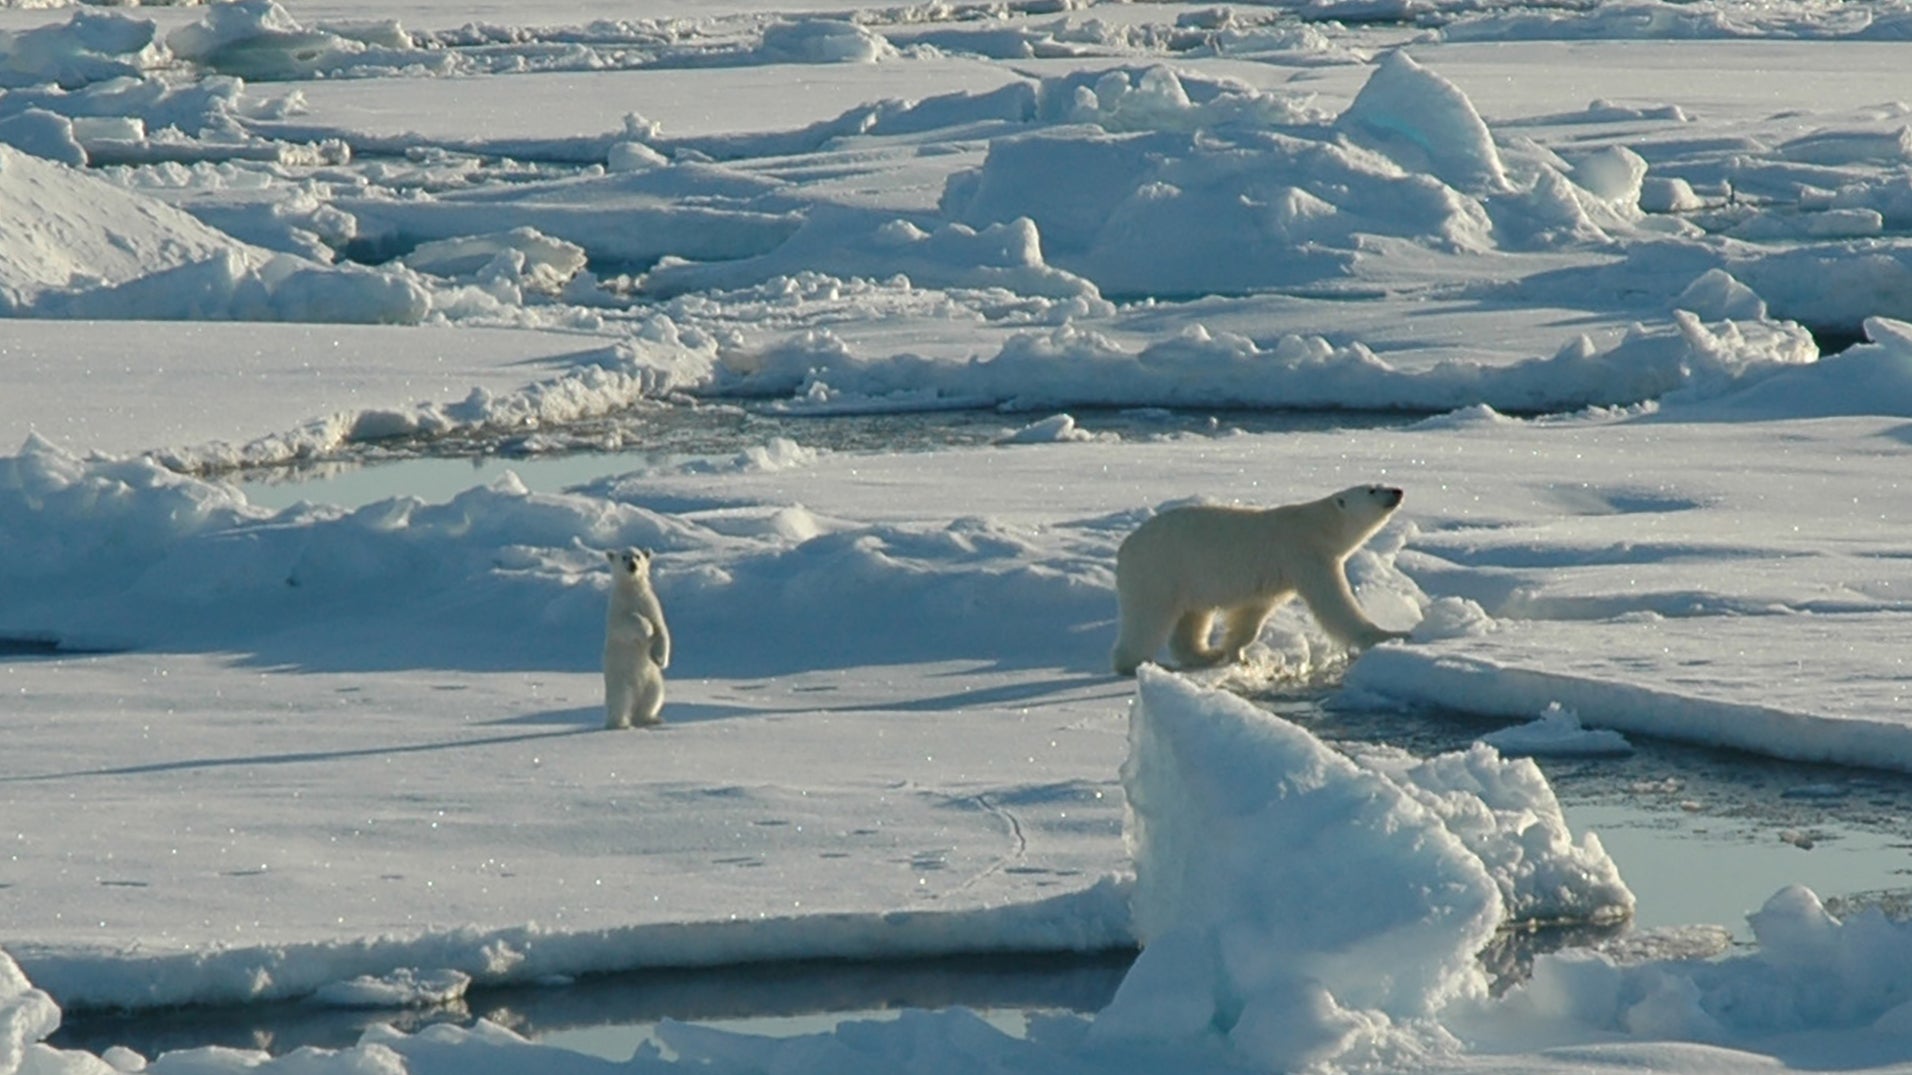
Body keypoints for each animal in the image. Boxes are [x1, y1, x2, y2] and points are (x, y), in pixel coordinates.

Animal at [604, 547, 671, 729]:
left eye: (638, 556)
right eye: (624, 557)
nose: (632, 565)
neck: (632, 590)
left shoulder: (650, 603)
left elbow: (662, 629)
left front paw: (660, 659)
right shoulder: (618, 609)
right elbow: (626, 622)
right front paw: (646, 629)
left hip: (653, 681)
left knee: (653, 697)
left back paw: (652, 719)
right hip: (619, 680)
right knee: (621, 700)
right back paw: (621, 723)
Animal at [1110, 484, 1410, 677]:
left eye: (1380, 483)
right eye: (1372, 490)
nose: (1397, 491)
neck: (1318, 525)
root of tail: (1125, 547)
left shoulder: (1273, 579)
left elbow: (1252, 614)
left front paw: (1235, 652)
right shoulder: (1305, 555)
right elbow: (1334, 604)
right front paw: (1390, 635)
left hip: (1188, 578)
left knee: (1192, 618)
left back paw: (1206, 654)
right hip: (1159, 570)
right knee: (1148, 617)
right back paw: (1136, 664)